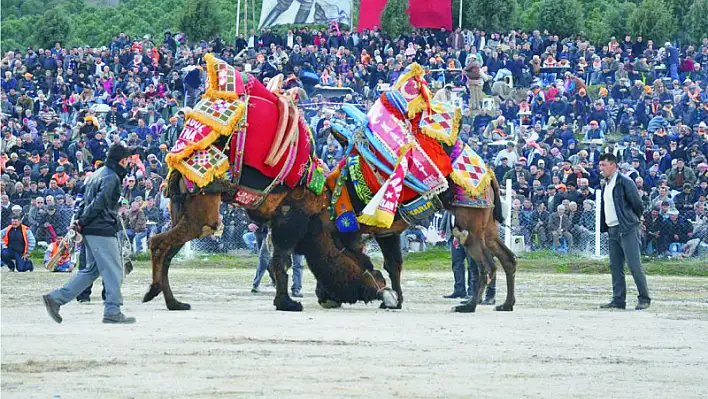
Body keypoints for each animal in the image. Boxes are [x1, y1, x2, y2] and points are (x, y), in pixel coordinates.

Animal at [142, 54, 398, 312]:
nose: (382, 291)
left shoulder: (275, 220)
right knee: (162, 242)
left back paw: (174, 302)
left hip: (179, 205)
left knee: (167, 248)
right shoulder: (290, 216)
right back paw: (155, 293)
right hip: (202, 204)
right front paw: (287, 302)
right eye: (360, 256)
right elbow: (281, 260)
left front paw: (284, 299)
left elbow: (279, 259)